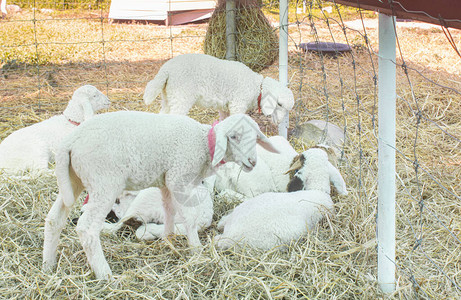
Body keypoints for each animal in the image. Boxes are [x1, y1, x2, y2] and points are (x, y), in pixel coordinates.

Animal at [144, 53, 294, 124]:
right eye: (279, 104)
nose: (280, 121)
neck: (256, 87)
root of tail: (166, 70)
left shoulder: (224, 107)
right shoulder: (238, 104)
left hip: (168, 96)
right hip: (181, 95)